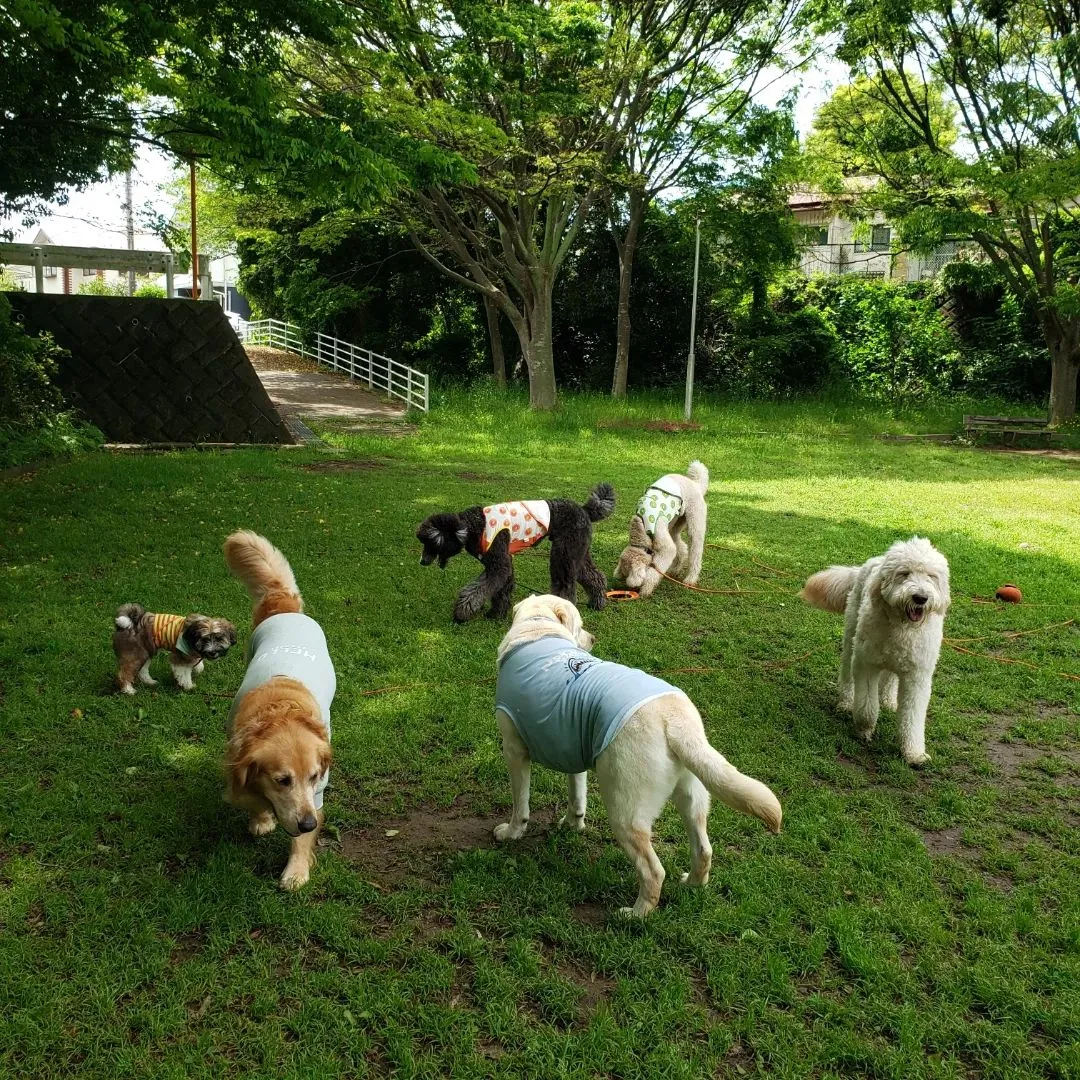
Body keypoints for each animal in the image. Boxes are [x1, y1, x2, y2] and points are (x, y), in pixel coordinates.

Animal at [617, 460, 708, 600]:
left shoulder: (664, 544)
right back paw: (675, 570)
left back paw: (690, 578)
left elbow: (655, 569)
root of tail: (696, 484)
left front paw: (646, 589)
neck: (641, 525)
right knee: (682, 547)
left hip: (695, 522)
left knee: (695, 551)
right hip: (675, 523)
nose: (630, 590)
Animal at [799, 537, 950, 760]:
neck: (901, 627)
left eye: (931, 576)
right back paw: (846, 702)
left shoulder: (917, 676)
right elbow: (867, 705)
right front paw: (865, 729)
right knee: (848, 674)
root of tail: (874, 561)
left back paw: (888, 700)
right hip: (851, 637)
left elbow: (913, 716)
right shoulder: (867, 664)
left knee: (891, 678)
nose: (920, 598)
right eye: (904, 573)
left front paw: (914, 753)